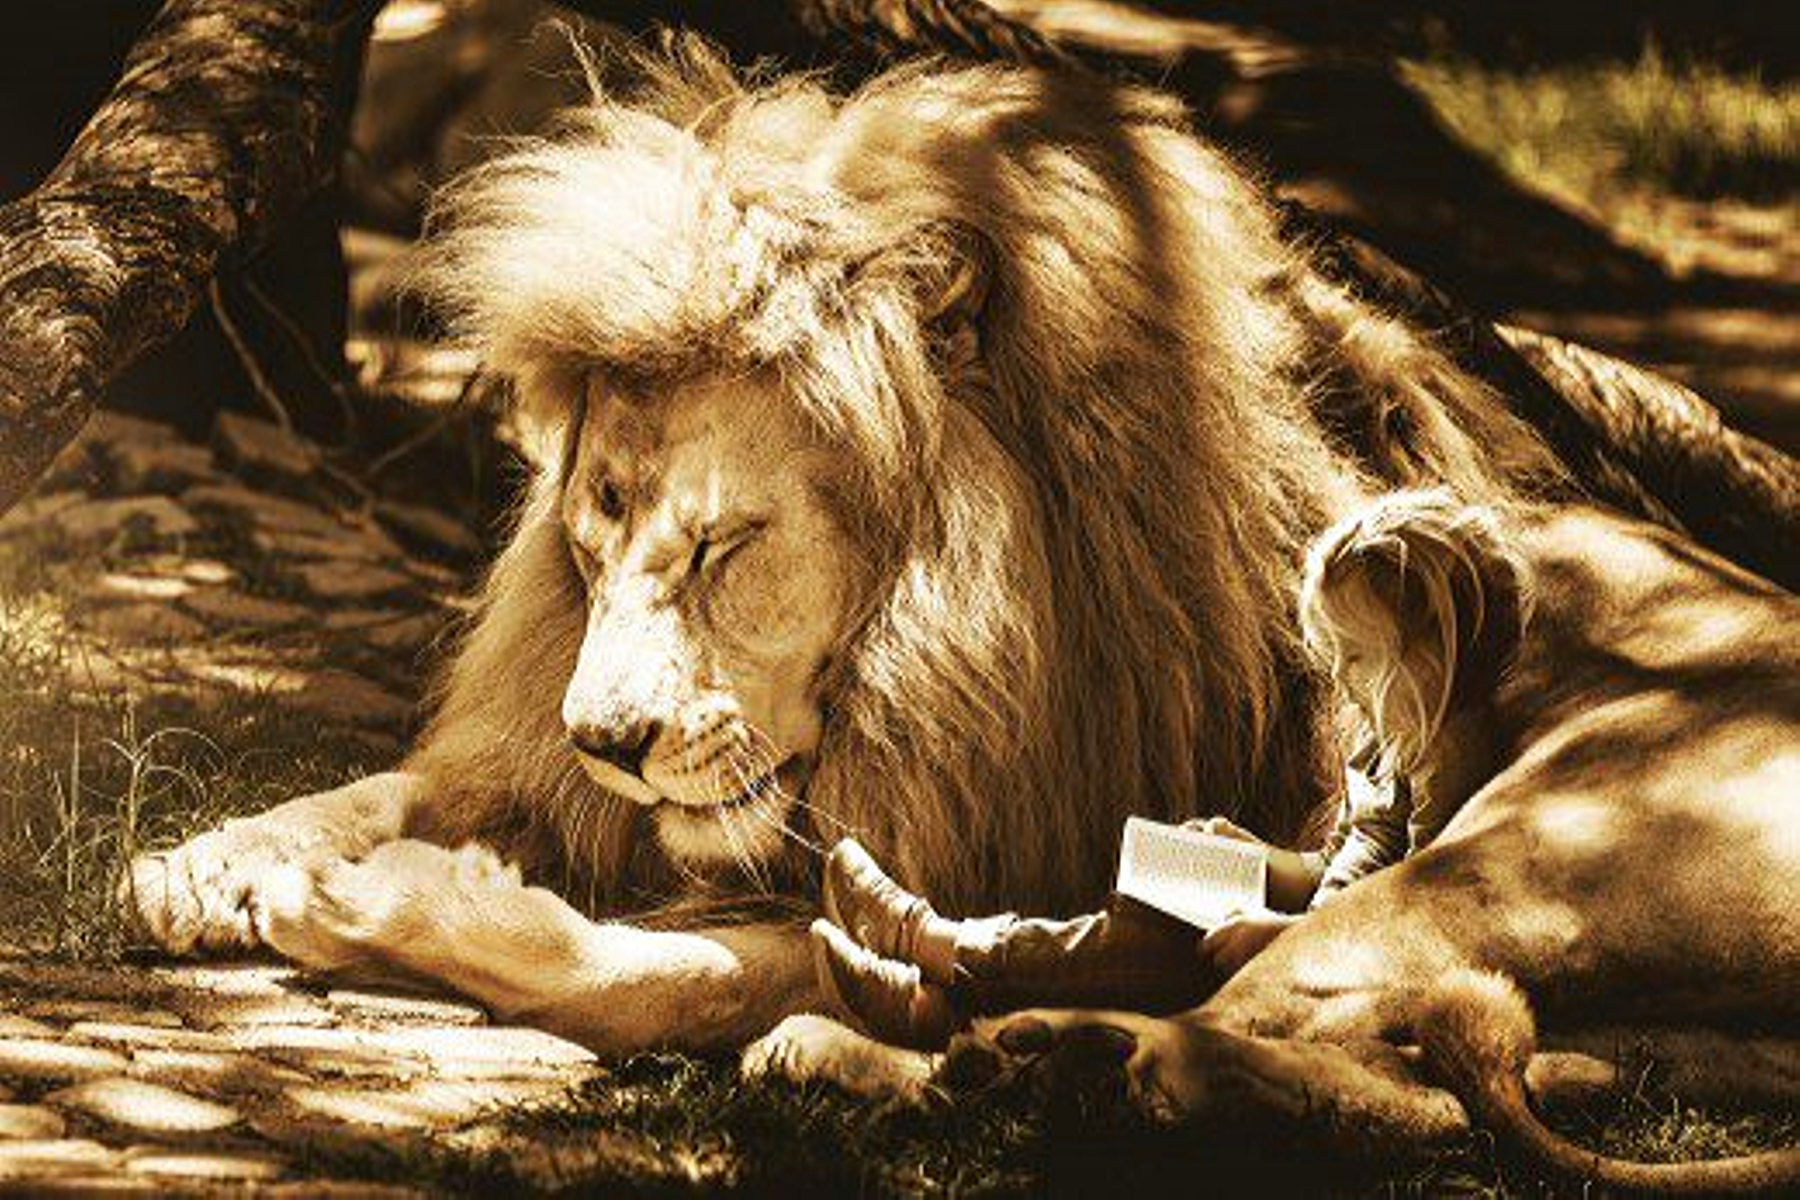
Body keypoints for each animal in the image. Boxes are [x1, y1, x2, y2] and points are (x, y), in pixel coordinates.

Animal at [122, 41, 1798, 1186]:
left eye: (724, 548)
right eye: (593, 532)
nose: (604, 741)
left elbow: (660, 972)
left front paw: (394, 902)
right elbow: (397, 785)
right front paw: (212, 860)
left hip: (1516, 846)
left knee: (1308, 1046)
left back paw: (997, 1056)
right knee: (1417, 1073)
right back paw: (976, 1059)